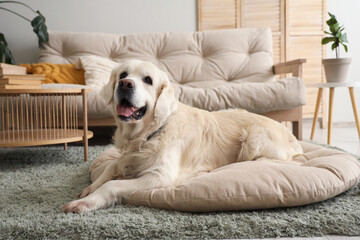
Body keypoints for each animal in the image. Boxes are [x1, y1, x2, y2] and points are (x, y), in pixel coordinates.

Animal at [62, 59, 304, 213]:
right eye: (123, 75)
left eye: (148, 80)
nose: (125, 84)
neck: (146, 135)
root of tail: (290, 136)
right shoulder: (126, 157)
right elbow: (110, 168)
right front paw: (88, 190)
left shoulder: (160, 176)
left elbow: (112, 185)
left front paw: (85, 203)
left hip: (254, 137)